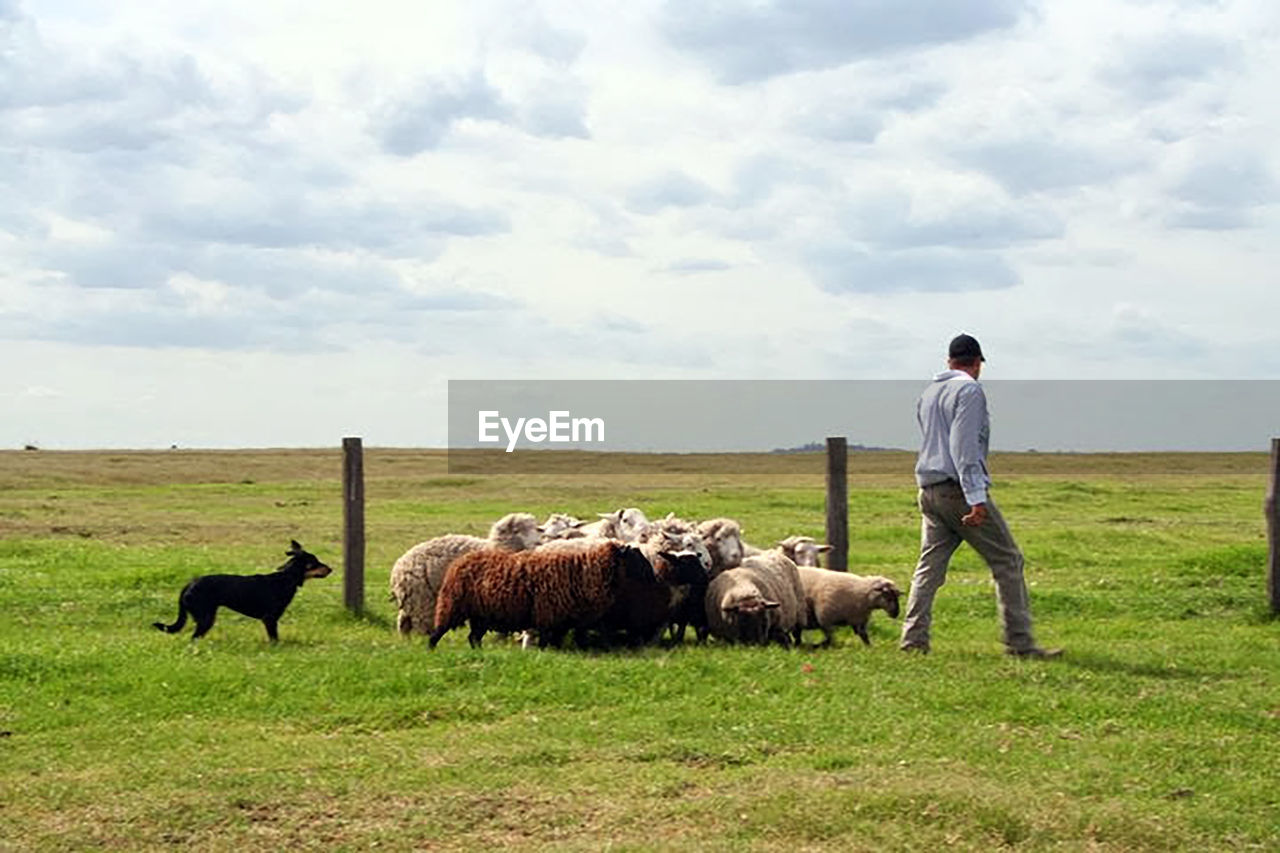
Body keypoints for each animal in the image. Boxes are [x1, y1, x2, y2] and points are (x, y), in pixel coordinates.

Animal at [152, 537, 332, 637]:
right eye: (314, 563)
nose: (331, 569)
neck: (285, 579)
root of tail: (189, 584)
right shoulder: (270, 619)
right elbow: (274, 639)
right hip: (205, 617)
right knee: (194, 638)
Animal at [384, 507, 535, 635]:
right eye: (517, 530)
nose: (536, 543)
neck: (497, 547)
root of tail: (398, 569)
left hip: (412, 601)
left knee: (403, 623)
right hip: (422, 601)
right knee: (419, 627)